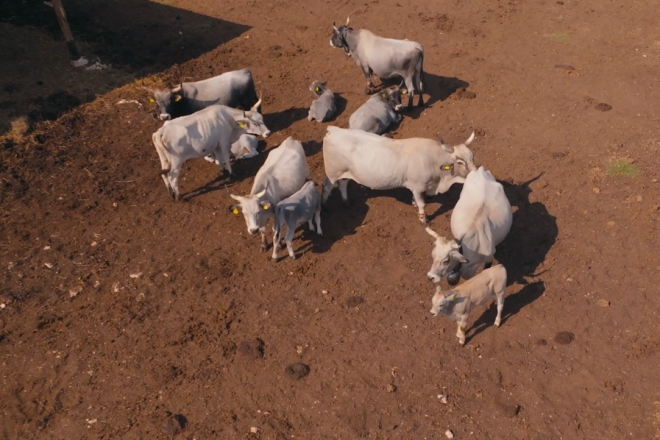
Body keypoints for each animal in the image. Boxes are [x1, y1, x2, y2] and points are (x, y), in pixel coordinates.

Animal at [320, 126, 474, 223]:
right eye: (460, 162)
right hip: (332, 173)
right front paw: (423, 220)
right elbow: (422, 204)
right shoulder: (418, 186)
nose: (475, 173)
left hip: (345, 171)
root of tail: (333, 130)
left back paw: (346, 202)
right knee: (327, 187)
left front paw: (413, 203)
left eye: (472, 157)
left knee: (343, 184)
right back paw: (324, 207)